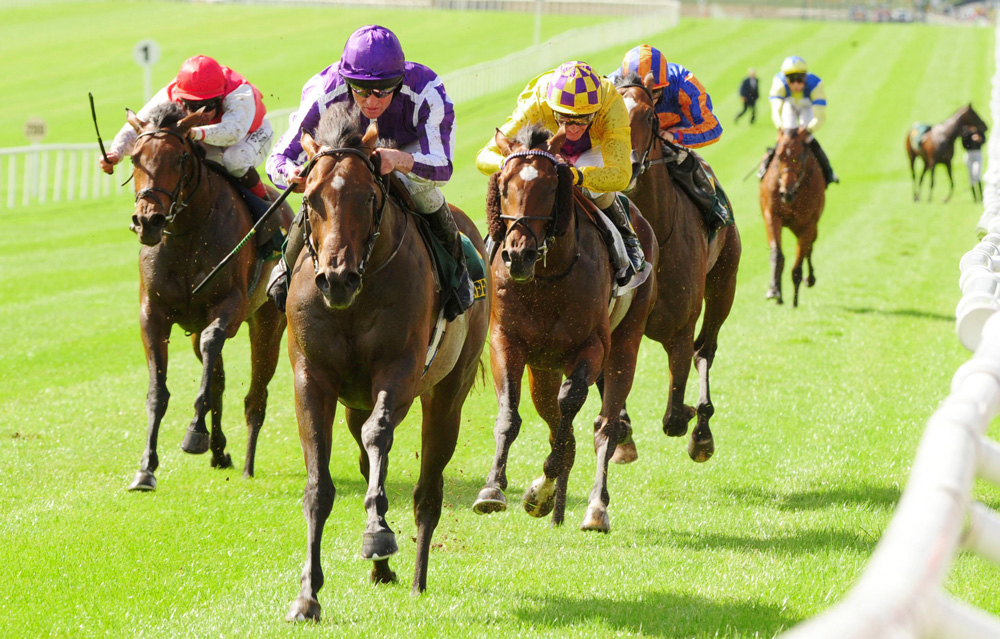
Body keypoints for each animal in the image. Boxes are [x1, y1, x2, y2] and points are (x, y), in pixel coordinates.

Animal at [122, 102, 292, 492]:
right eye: (136, 158)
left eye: (179, 159)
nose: (148, 221)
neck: (186, 235)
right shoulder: (153, 314)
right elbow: (159, 391)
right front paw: (146, 468)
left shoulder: (230, 305)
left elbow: (215, 344)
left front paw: (194, 432)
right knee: (218, 378)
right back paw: (218, 449)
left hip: (268, 321)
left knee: (255, 395)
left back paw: (245, 462)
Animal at [284, 105, 490, 620]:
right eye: (310, 197)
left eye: (368, 195)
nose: (336, 277)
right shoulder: (310, 378)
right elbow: (319, 485)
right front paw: (307, 595)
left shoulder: (400, 369)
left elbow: (380, 435)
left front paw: (377, 533)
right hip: (354, 401)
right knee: (365, 454)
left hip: (446, 393)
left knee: (427, 489)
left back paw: (416, 576)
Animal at [472, 122, 660, 532]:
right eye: (504, 187)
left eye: (550, 188)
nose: (518, 255)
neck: (547, 279)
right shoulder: (506, 341)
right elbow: (511, 414)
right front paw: (494, 488)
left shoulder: (592, 346)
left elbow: (571, 403)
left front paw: (544, 484)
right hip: (543, 367)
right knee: (554, 417)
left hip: (625, 343)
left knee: (606, 425)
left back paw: (596, 508)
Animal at [612, 75, 740, 464]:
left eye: (650, 117)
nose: (629, 166)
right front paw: (623, 437)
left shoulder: (679, 328)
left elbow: (673, 416)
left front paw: (691, 417)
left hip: (724, 284)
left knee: (705, 349)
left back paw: (702, 432)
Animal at [760, 127, 824, 308]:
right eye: (779, 156)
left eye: (800, 156)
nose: (786, 192)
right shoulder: (772, 215)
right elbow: (777, 254)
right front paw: (774, 291)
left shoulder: (808, 223)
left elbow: (798, 264)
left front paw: (795, 301)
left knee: (810, 246)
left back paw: (809, 279)